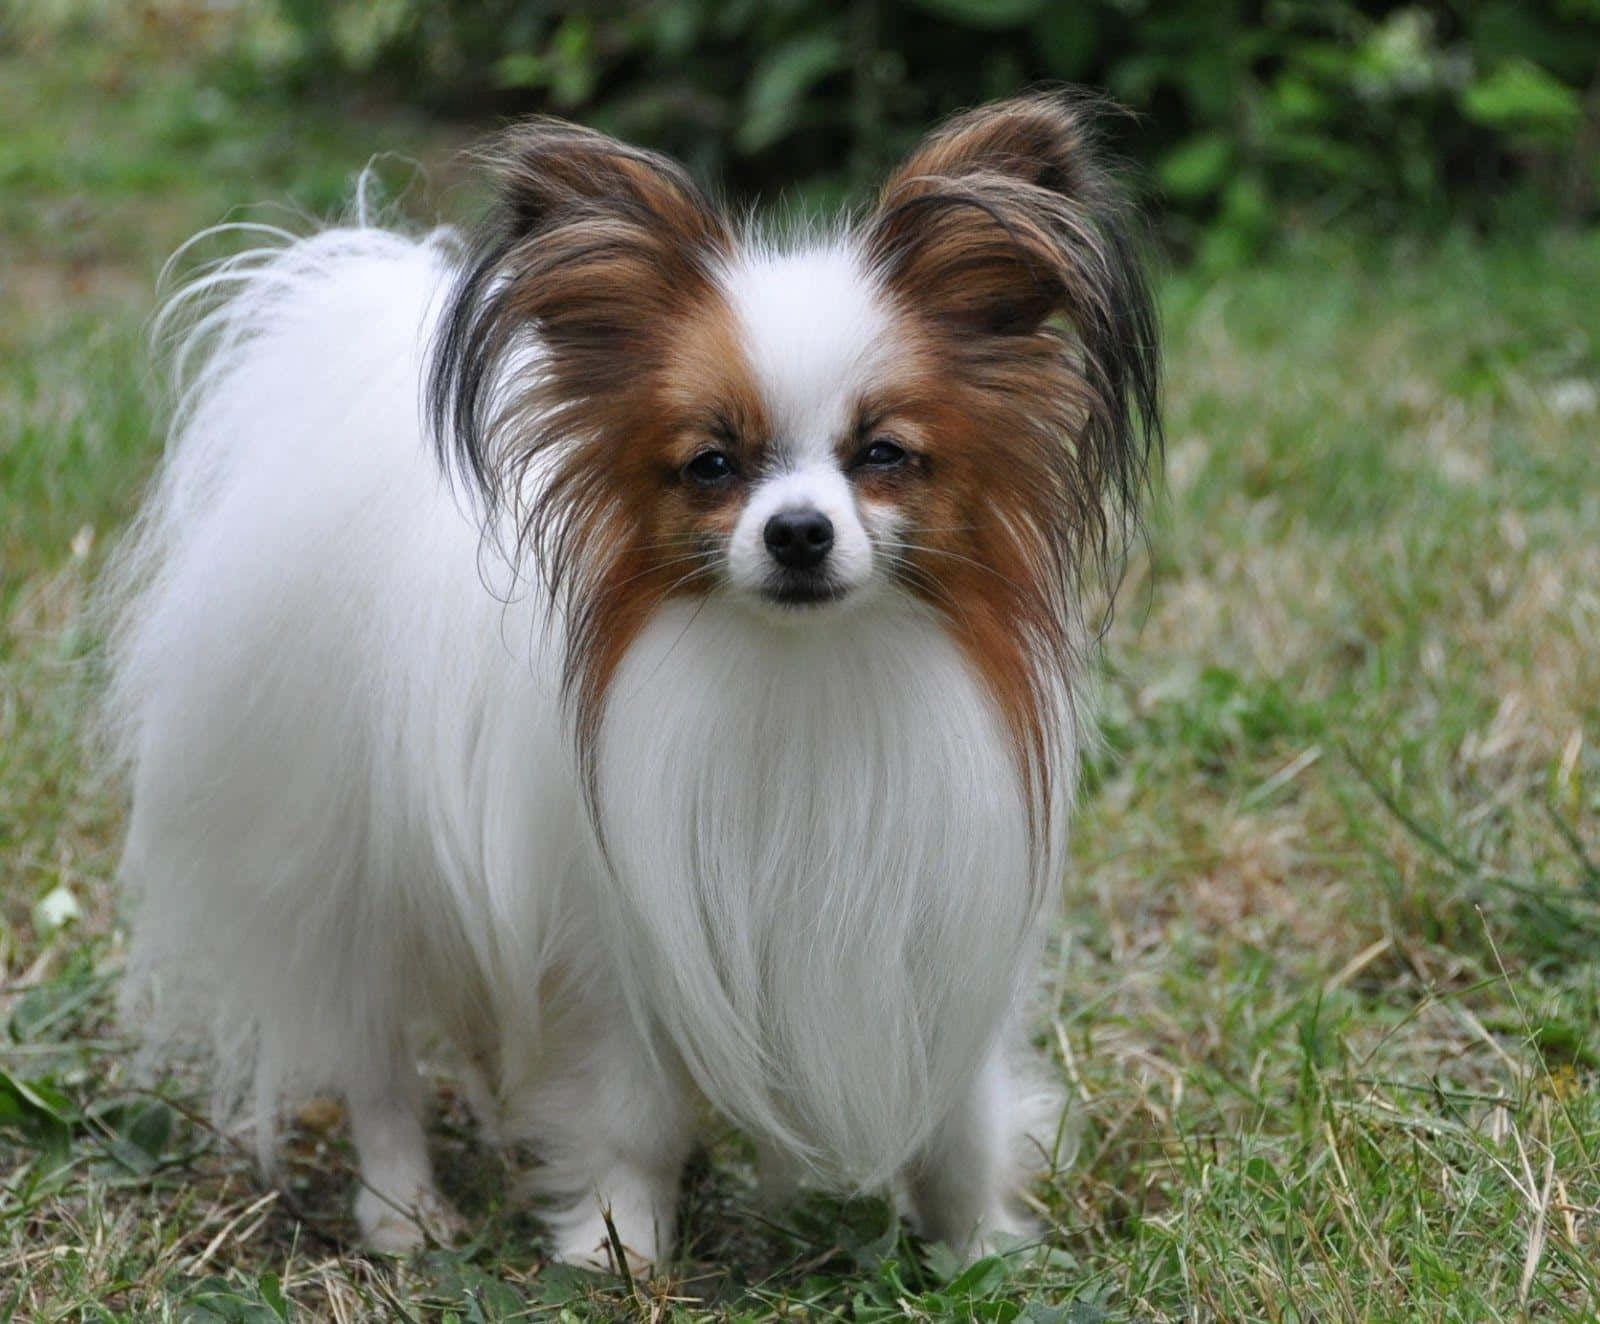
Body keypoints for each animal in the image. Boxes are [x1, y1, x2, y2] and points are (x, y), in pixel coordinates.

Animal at [106, 93, 1164, 1272]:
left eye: (884, 455)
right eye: (712, 465)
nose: (798, 531)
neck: (807, 676)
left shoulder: (943, 929)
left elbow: (960, 1123)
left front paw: (977, 1251)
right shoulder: (620, 951)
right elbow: (632, 1117)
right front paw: (617, 1244)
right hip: (346, 868)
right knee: (373, 1059)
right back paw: (405, 1211)